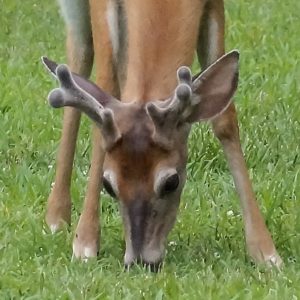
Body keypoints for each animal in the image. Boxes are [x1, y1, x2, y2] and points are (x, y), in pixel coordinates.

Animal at [41, 0, 282, 268]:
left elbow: (225, 119)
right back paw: (56, 218)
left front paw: (266, 252)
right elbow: (105, 87)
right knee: (80, 53)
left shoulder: (214, 5)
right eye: (108, 185)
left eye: (171, 182)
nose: (140, 260)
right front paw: (85, 242)